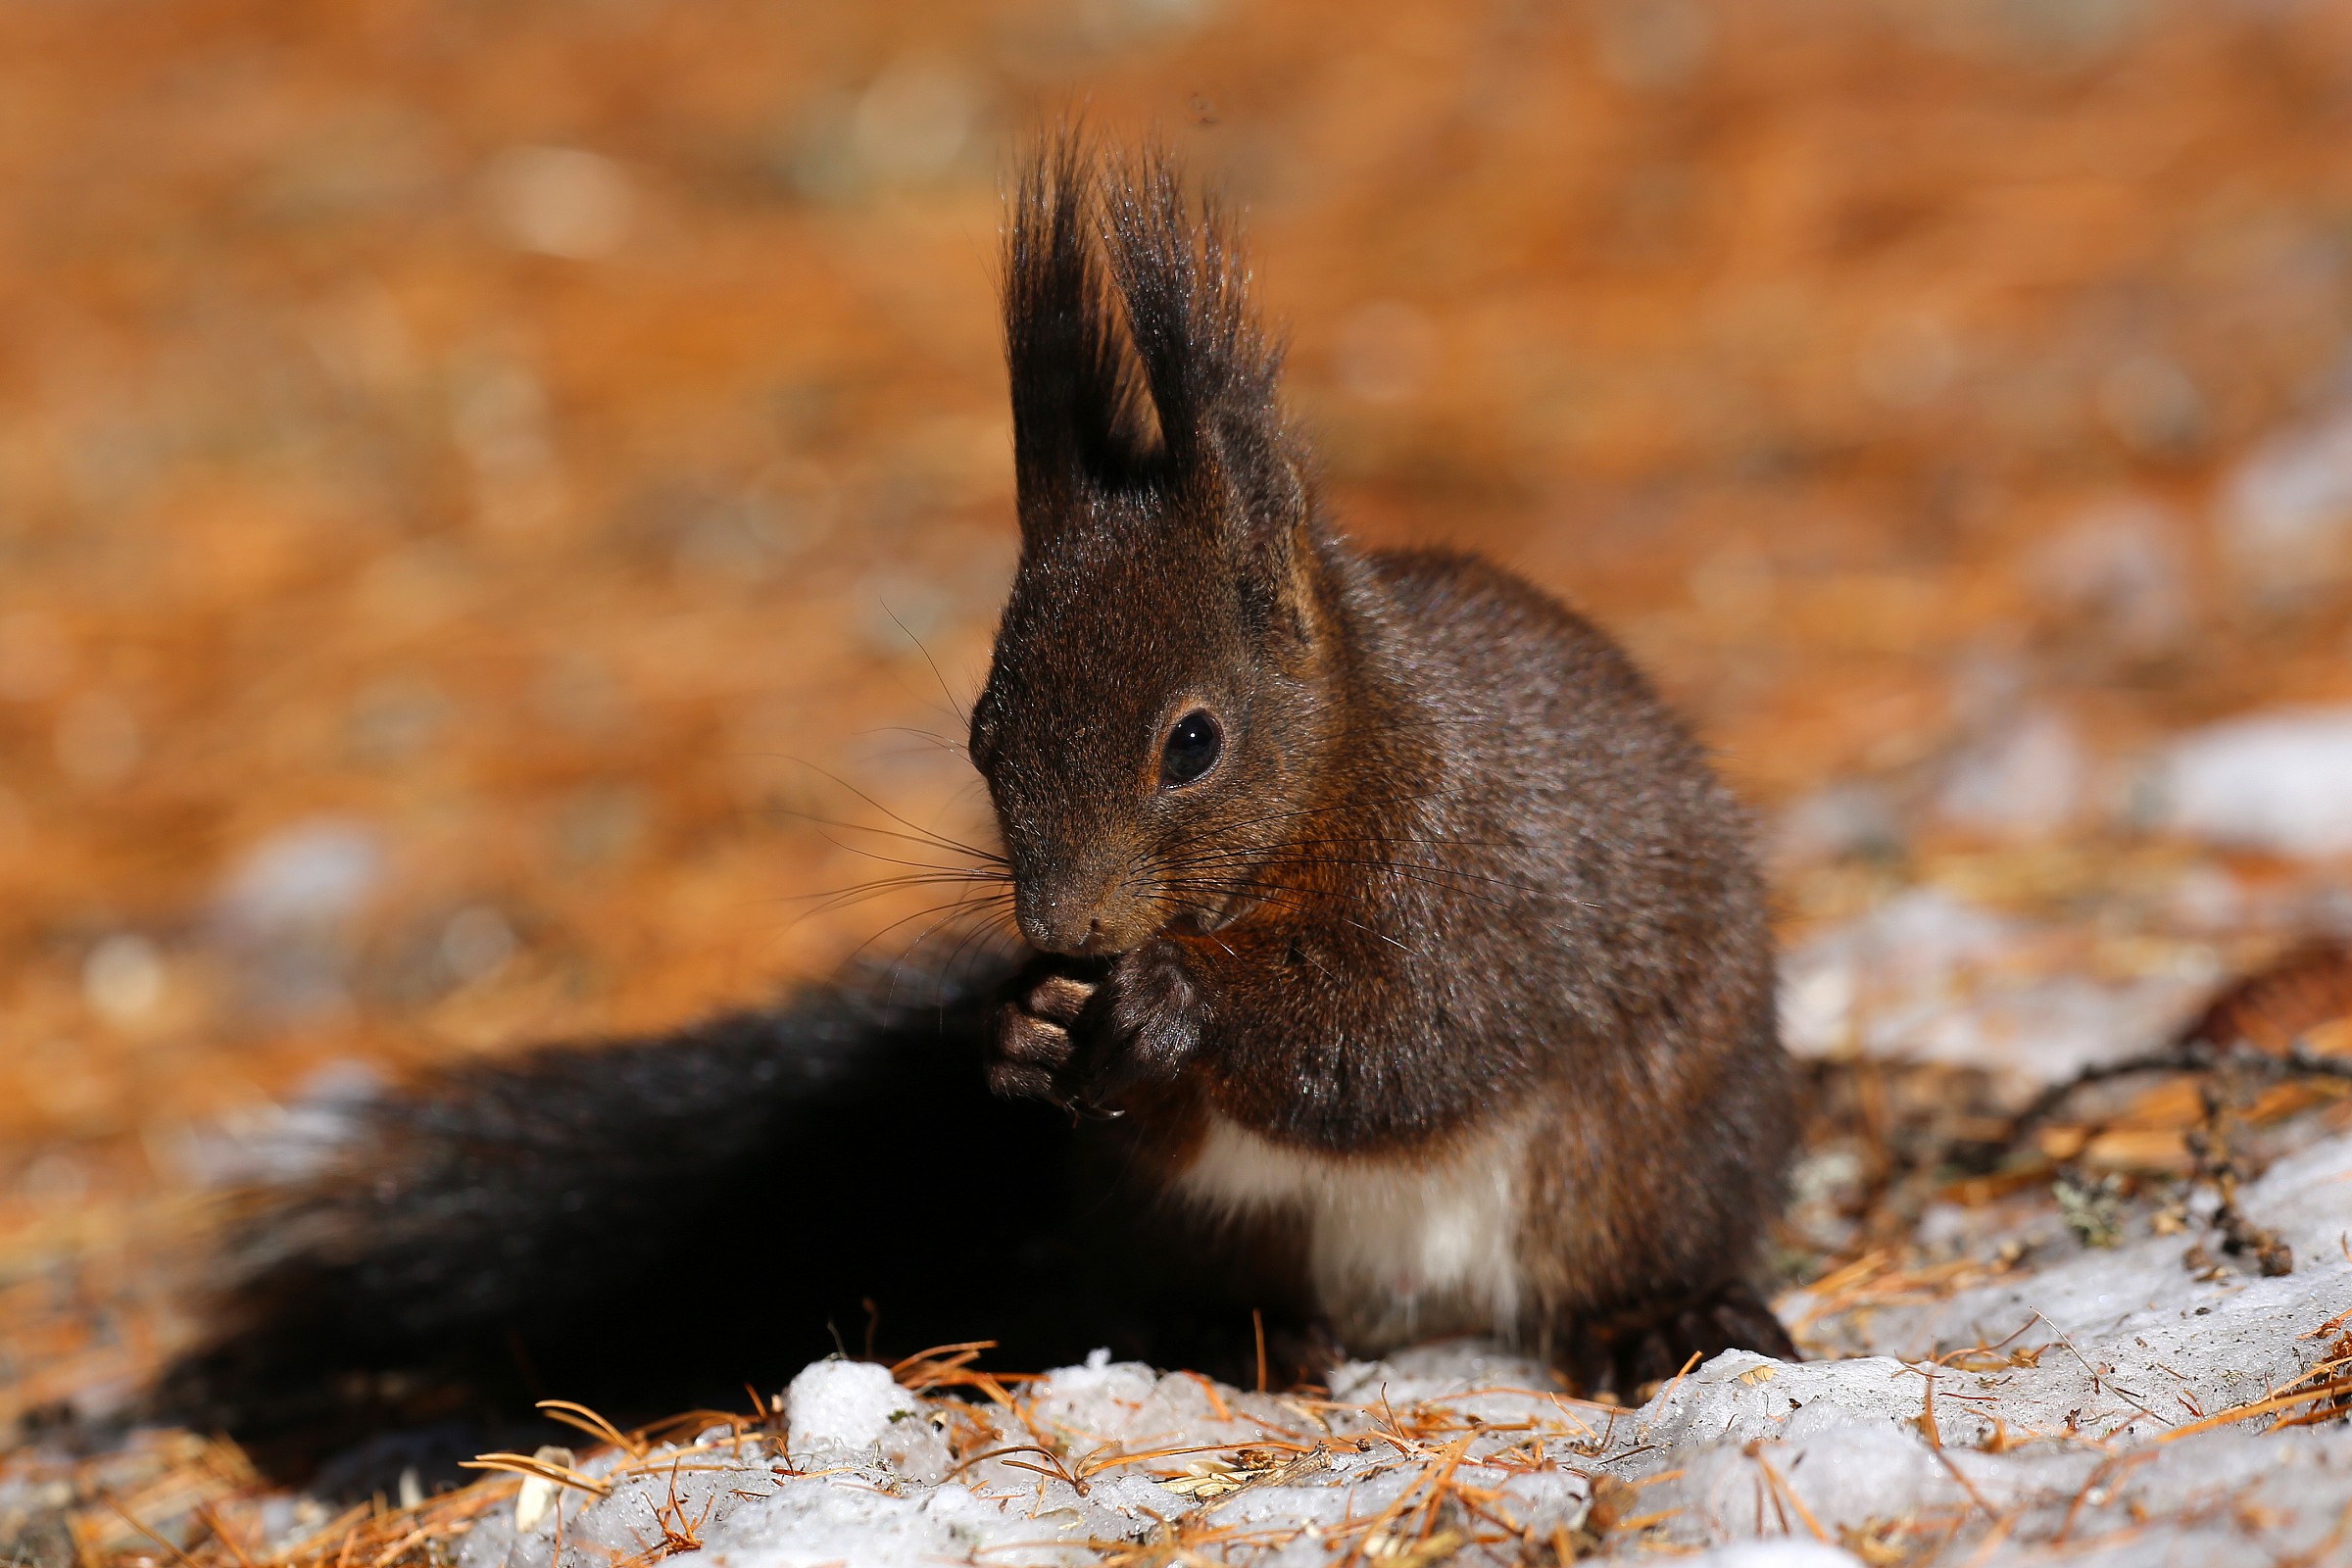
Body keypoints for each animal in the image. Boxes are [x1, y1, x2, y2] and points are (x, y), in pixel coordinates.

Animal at [150, 140, 1796, 1480]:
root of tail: (1418, 1303)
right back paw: (1230, 1338)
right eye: (979, 734)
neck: (1344, 774)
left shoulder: (1483, 890)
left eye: (1194, 743)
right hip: (1179, 1222)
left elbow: (1396, 1046)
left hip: (1655, 1151)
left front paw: (1178, 1010)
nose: (1064, 927)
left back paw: (1659, 1314)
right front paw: (1023, 1026)